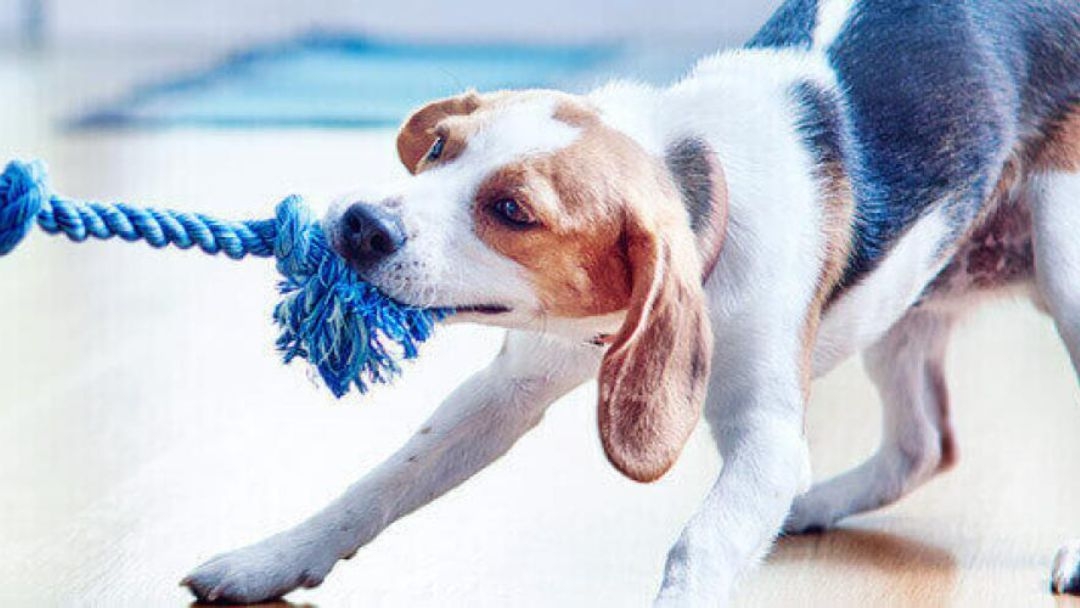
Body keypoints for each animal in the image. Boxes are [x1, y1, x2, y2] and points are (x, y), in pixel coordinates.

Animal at [183, 0, 1080, 604]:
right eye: (440, 148)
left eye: (514, 210)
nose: (360, 225)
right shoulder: (507, 388)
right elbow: (378, 484)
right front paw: (272, 559)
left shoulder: (765, 436)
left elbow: (702, 543)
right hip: (910, 289)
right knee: (923, 446)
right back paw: (811, 505)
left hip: (1063, 259)